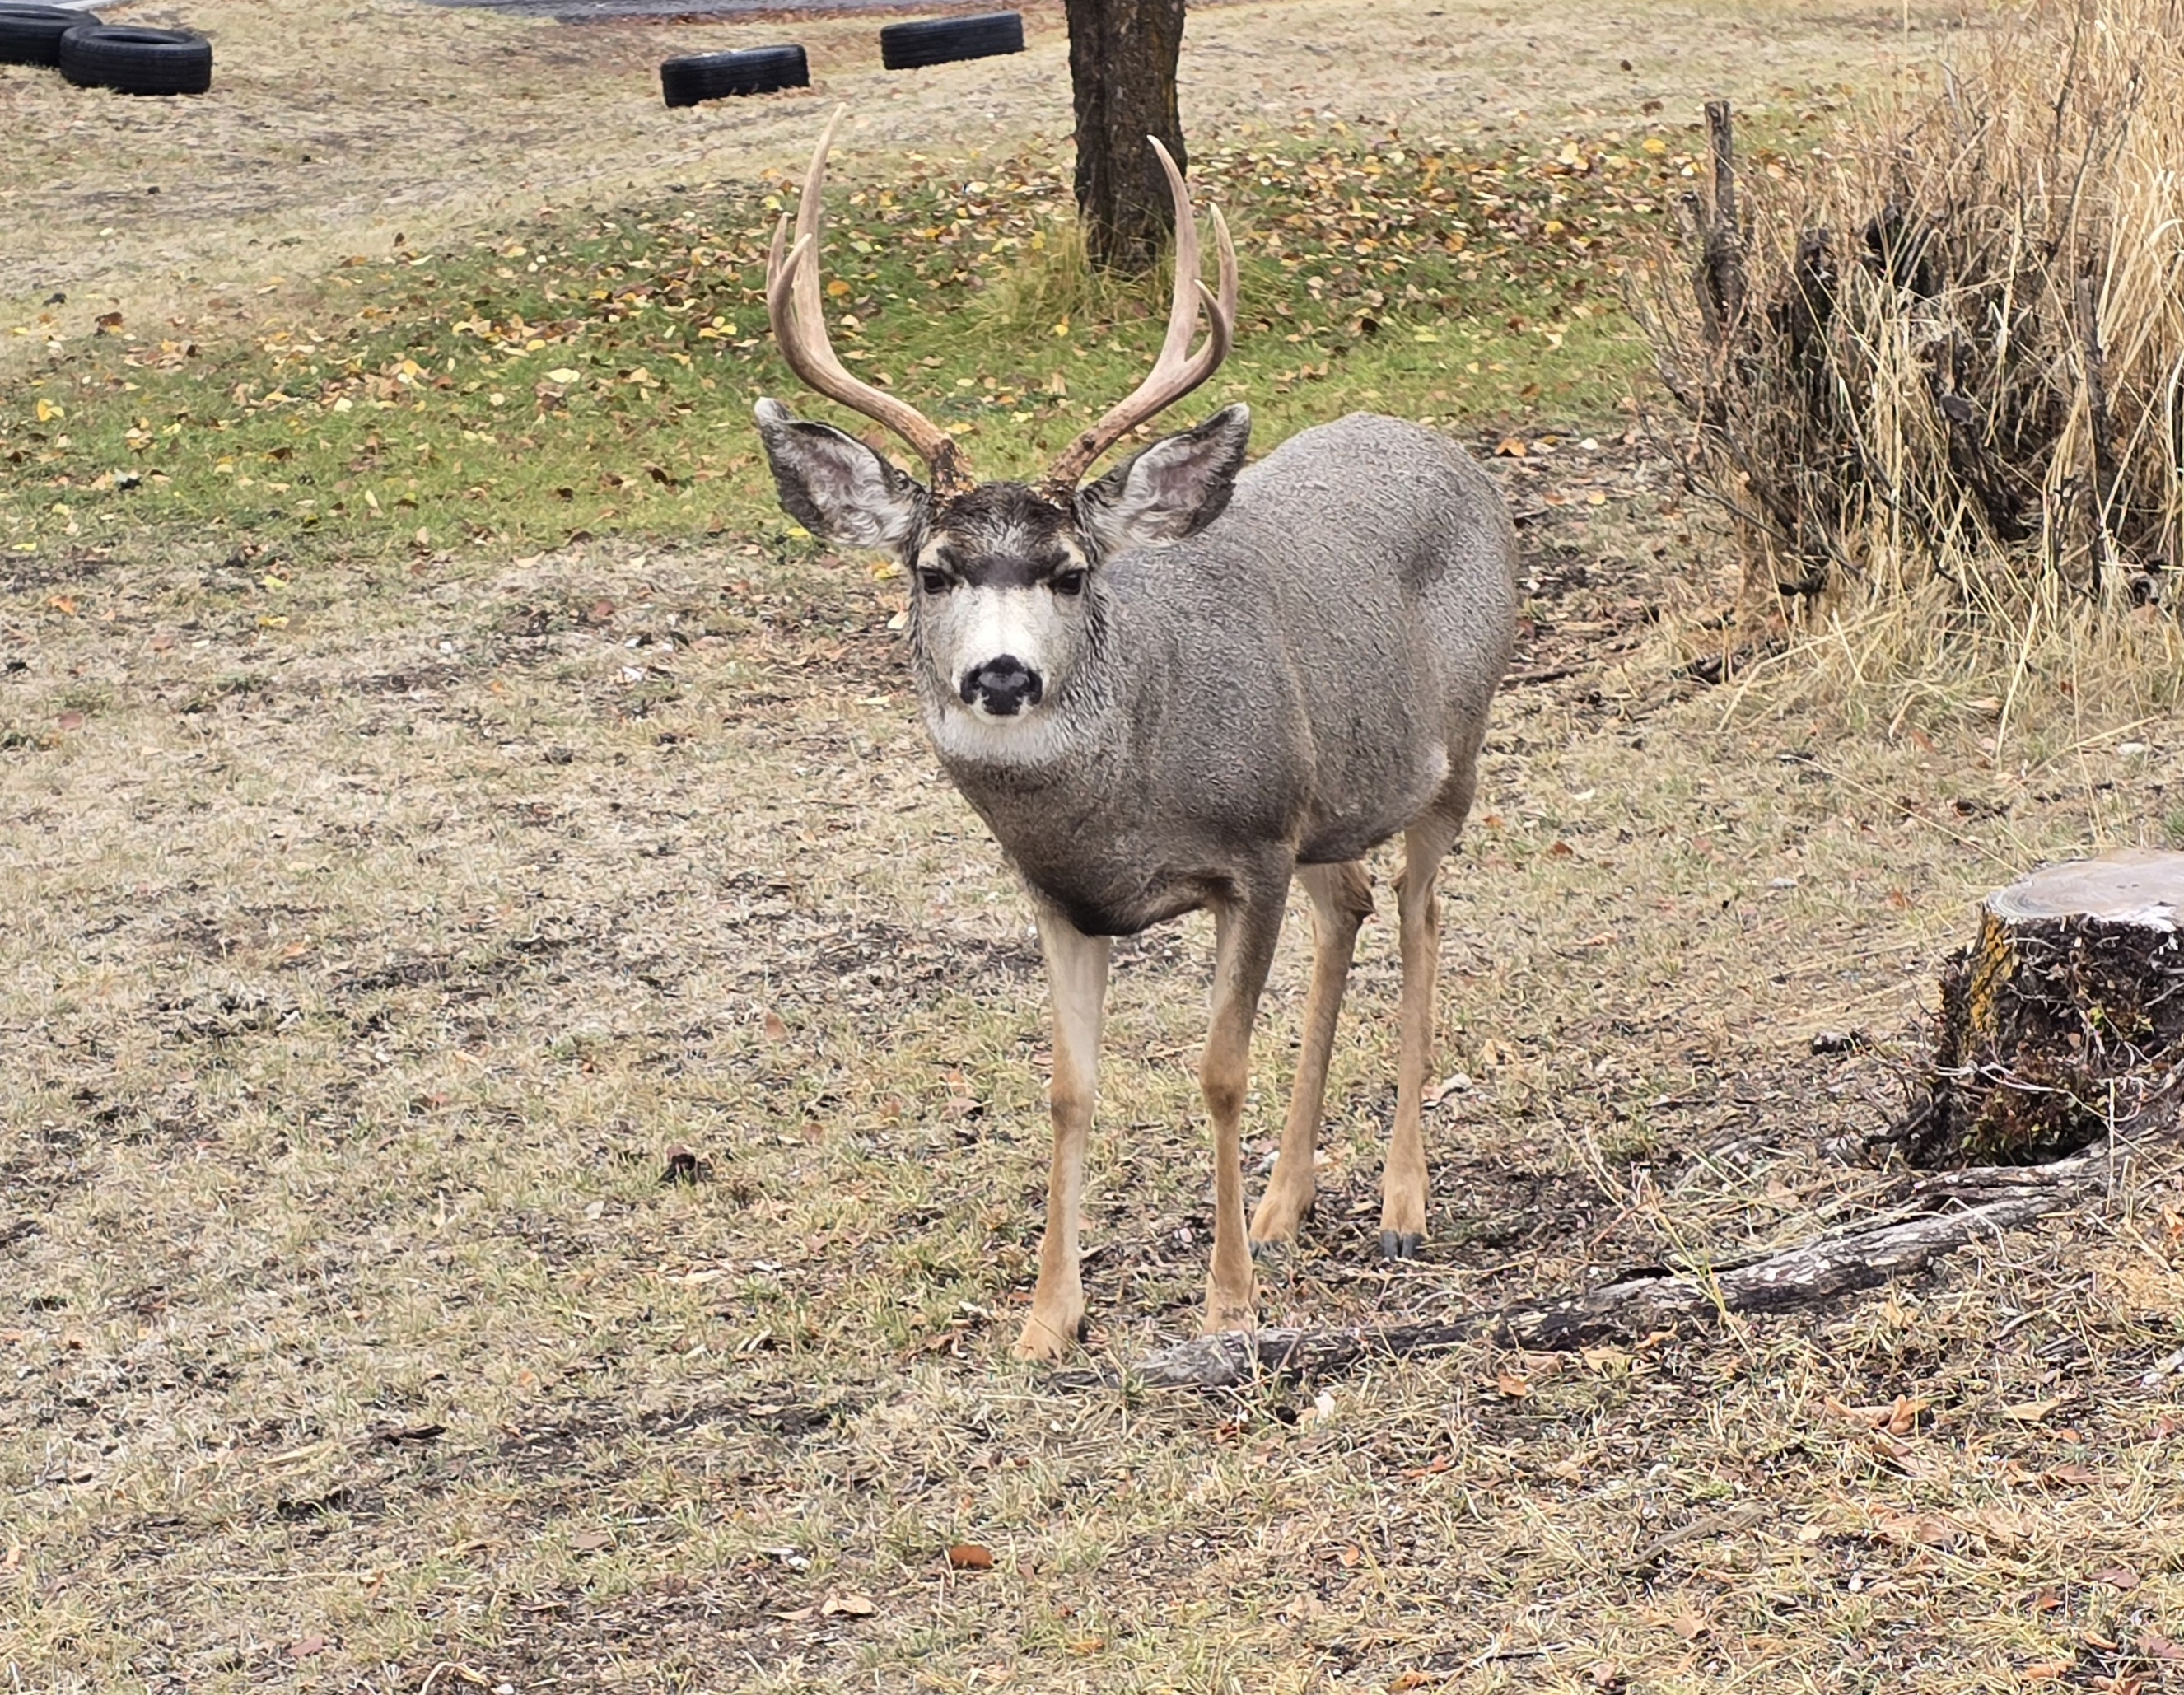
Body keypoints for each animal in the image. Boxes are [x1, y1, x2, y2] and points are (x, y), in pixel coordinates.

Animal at [754, 111, 1518, 1362]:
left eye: (1070, 571)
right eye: (933, 569)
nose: (1001, 673)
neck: (1121, 808)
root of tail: (1454, 455)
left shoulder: (1252, 848)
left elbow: (1218, 1070)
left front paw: (1228, 1302)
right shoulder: (1063, 896)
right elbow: (1068, 1087)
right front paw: (1046, 1319)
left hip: (1457, 738)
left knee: (1421, 913)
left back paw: (1402, 1205)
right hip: (1330, 794)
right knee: (1352, 905)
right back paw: (1287, 1200)